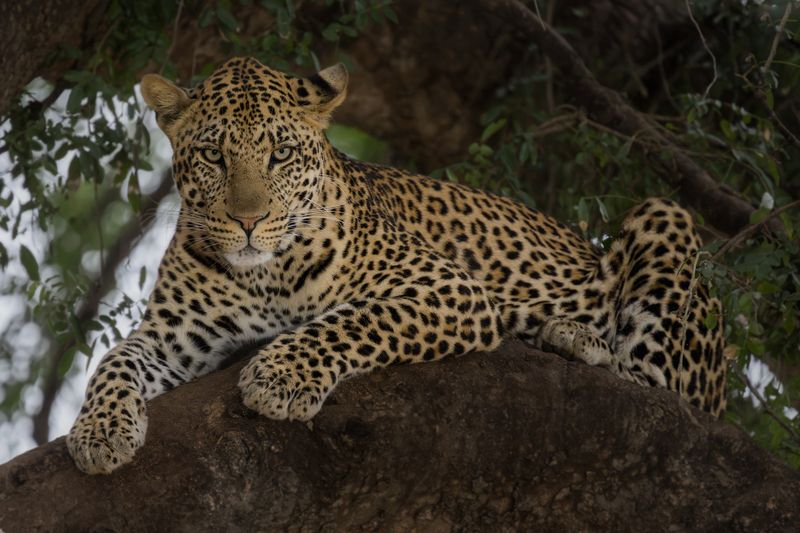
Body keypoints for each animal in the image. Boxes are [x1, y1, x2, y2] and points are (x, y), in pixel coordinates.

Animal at [67, 56, 727, 475]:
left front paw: (279, 375)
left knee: (655, 386)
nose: (249, 221)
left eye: (280, 154)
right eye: (211, 155)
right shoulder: (173, 339)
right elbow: (112, 362)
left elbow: (349, 320)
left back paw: (573, 335)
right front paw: (99, 432)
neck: (264, 272)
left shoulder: (448, 288)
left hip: (665, 218)